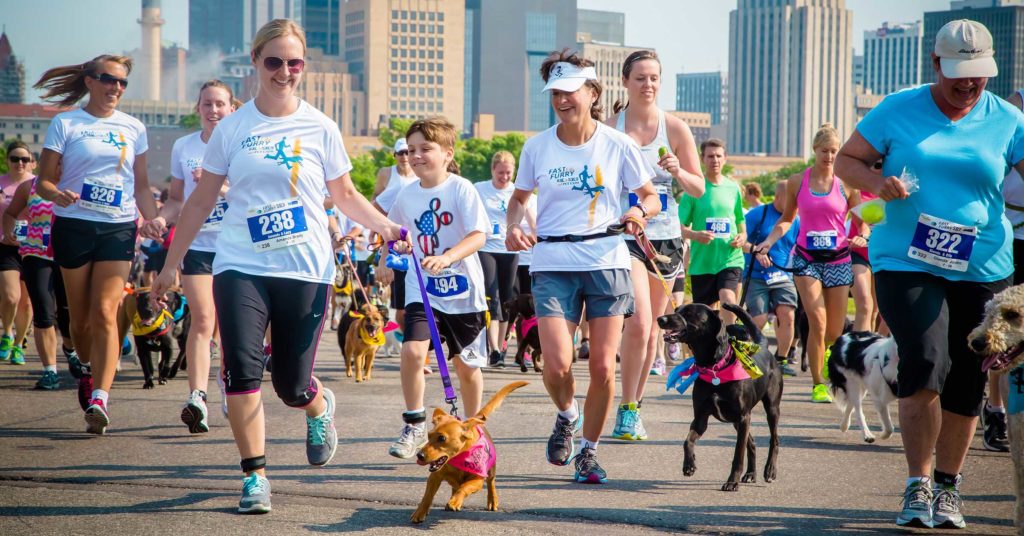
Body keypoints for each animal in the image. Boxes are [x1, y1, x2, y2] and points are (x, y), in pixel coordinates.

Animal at [411, 381, 528, 524]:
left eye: (442, 438)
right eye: (429, 435)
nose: (419, 455)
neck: (458, 458)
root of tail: (475, 419)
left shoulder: (478, 479)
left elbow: (465, 487)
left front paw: (455, 501)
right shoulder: (434, 477)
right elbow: (427, 496)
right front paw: (420, 512)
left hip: (491, 470)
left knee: (491, 482)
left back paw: (491, 500)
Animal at [655, 301, 782, 489]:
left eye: (689, 313)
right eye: (677, 310)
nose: (660, 319)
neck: (715, 367)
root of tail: (764, 347)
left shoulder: (743, 416)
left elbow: (738, 453)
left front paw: (732, 481)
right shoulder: (701, 418)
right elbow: (687, 441)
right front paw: (689, 465)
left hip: (770, 409)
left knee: (774, 440)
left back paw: (770, 471)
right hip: (738, 422)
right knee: (752, 443)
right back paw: (750, 474)